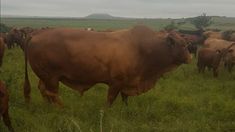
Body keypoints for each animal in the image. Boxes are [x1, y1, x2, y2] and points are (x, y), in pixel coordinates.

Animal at [23, 25, 192, 106]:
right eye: (183, 45)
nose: (190, 58)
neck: (142, 47)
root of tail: (36, 34)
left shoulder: (127, 82)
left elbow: (124, 98)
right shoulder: (116, 82)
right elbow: (110, 99)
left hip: (45, 77)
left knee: (43, 91)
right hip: (52, 78)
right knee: (52, 94)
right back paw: (62, 109)